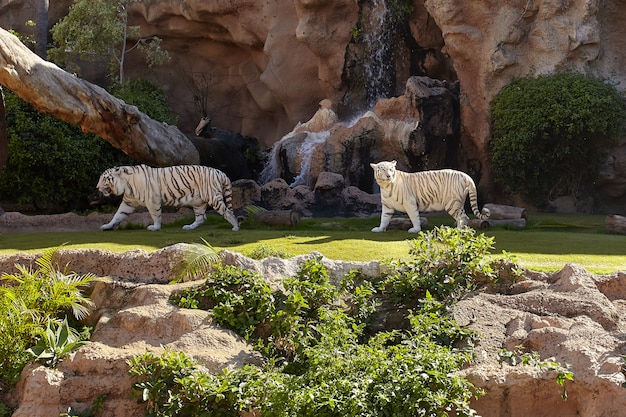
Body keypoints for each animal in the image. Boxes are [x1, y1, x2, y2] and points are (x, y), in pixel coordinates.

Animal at [97, 164, 239, 231]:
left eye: (104, 178)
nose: (97, 187)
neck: (126, 185)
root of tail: (220, 172)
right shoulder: (128, 202)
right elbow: (117, 215)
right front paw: (108, 226)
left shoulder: (152, 200)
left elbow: (156, 215)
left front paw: (155, 227)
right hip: (198, 202)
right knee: (201, 218)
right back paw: (189, 227)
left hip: (213, 197)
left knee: (227, 212)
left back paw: (236, 227)